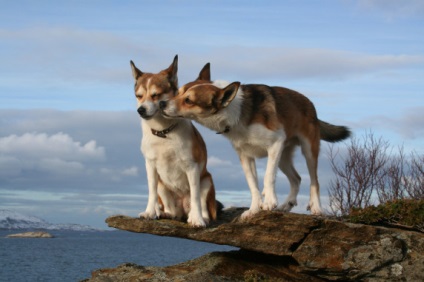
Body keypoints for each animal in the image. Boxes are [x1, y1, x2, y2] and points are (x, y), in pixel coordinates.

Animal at [131, 55, 219, 227]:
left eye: (156, 95)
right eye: (139, 96)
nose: (141, 110)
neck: (163, 132)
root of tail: (183, 210)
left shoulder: (192, 167)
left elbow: (195, 195)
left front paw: (197, 219)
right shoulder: (150, 166)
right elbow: (151, 192)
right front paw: (150, 212)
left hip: (207, 180)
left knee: (201, 204)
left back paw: (200, 217)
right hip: (163, 186)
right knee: (174, 212)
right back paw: (166, 214)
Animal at [161, 64, 350, 220]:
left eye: (189, 100)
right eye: (178, 92)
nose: (162, 103)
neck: (237, 113)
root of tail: (310, 103)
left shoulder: (275, 144)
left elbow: (268, 176)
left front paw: (269, 201)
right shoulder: (246, 156)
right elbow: (252, 185)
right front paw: (253, 209)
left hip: (308, 150)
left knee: (314, 181)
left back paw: (316, 207)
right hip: (283, 157)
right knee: (296, 179)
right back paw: (286, 205)